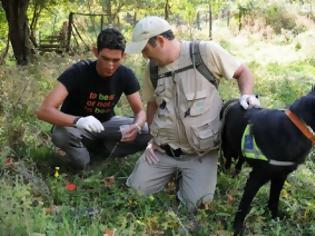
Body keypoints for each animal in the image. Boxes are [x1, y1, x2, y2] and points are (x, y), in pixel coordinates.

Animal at [222, 87, 315, 235]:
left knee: (239, 164)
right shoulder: (256, 177)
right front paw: (237, 228)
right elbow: (244, 206)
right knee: (228, 161)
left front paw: (274, 218)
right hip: (227, 147)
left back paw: (234, 177)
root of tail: (231, 101)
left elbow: (274, 200)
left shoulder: (280, 176)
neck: (299, 126)